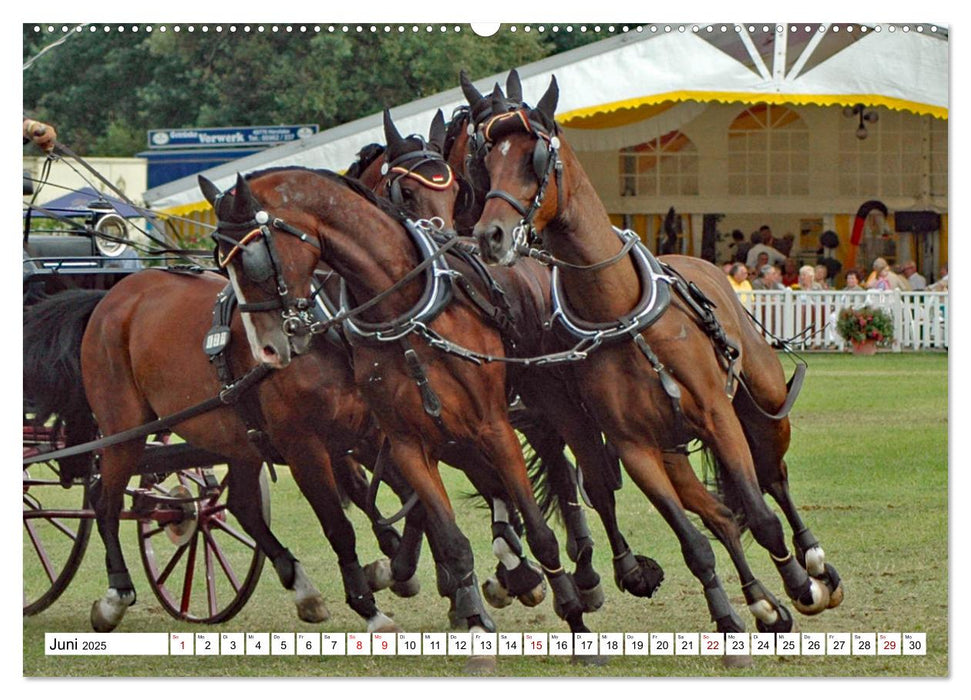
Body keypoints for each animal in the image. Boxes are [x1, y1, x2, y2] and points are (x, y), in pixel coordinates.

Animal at [22, 274, 412, 636]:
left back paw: (302, 586)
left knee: (241, 504)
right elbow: (341, 524)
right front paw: (371, 607)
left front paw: (395, 565)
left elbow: (401, 496)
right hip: (123, 430)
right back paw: (116, 595)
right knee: (105, 502)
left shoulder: (365, 435)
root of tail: (109, 298)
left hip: (239, 440)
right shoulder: (305, 445)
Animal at [202, 165, 600, 644]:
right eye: (221, 261)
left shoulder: (491, 426)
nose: (267, 349)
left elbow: (535, 526)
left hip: (541, 403)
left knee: (561, 468)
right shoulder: (406, 441)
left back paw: (584, 572)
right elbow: (444, 532)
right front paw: (471, 610)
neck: (402, 307)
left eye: (253, 259)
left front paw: (564, 606)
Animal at [464, 74, 844, 636]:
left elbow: (761, 514)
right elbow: (694, 542)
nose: (490, 235)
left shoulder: (718, 417)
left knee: (773, 479)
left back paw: (814, 564)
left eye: (536, 156)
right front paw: (737, 611)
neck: (621, 313)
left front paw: (800, 584)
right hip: (672, 451)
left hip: (763, 406)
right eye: (485, 160)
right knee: (720, 516)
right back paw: (760, 600)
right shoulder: (637, 449)